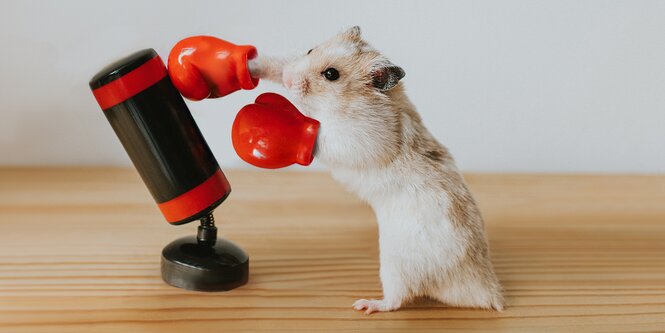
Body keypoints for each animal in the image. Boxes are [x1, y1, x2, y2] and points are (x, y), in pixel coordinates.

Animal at [249, 26, 504, 314]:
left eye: (331, 75)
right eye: (310, 49)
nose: (290, 79)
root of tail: (487, 290)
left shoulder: (358, 137)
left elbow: (321, 137)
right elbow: (277, 64)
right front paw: (252, 66)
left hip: (396, 265)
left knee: (398, 299)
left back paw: (365, 305)